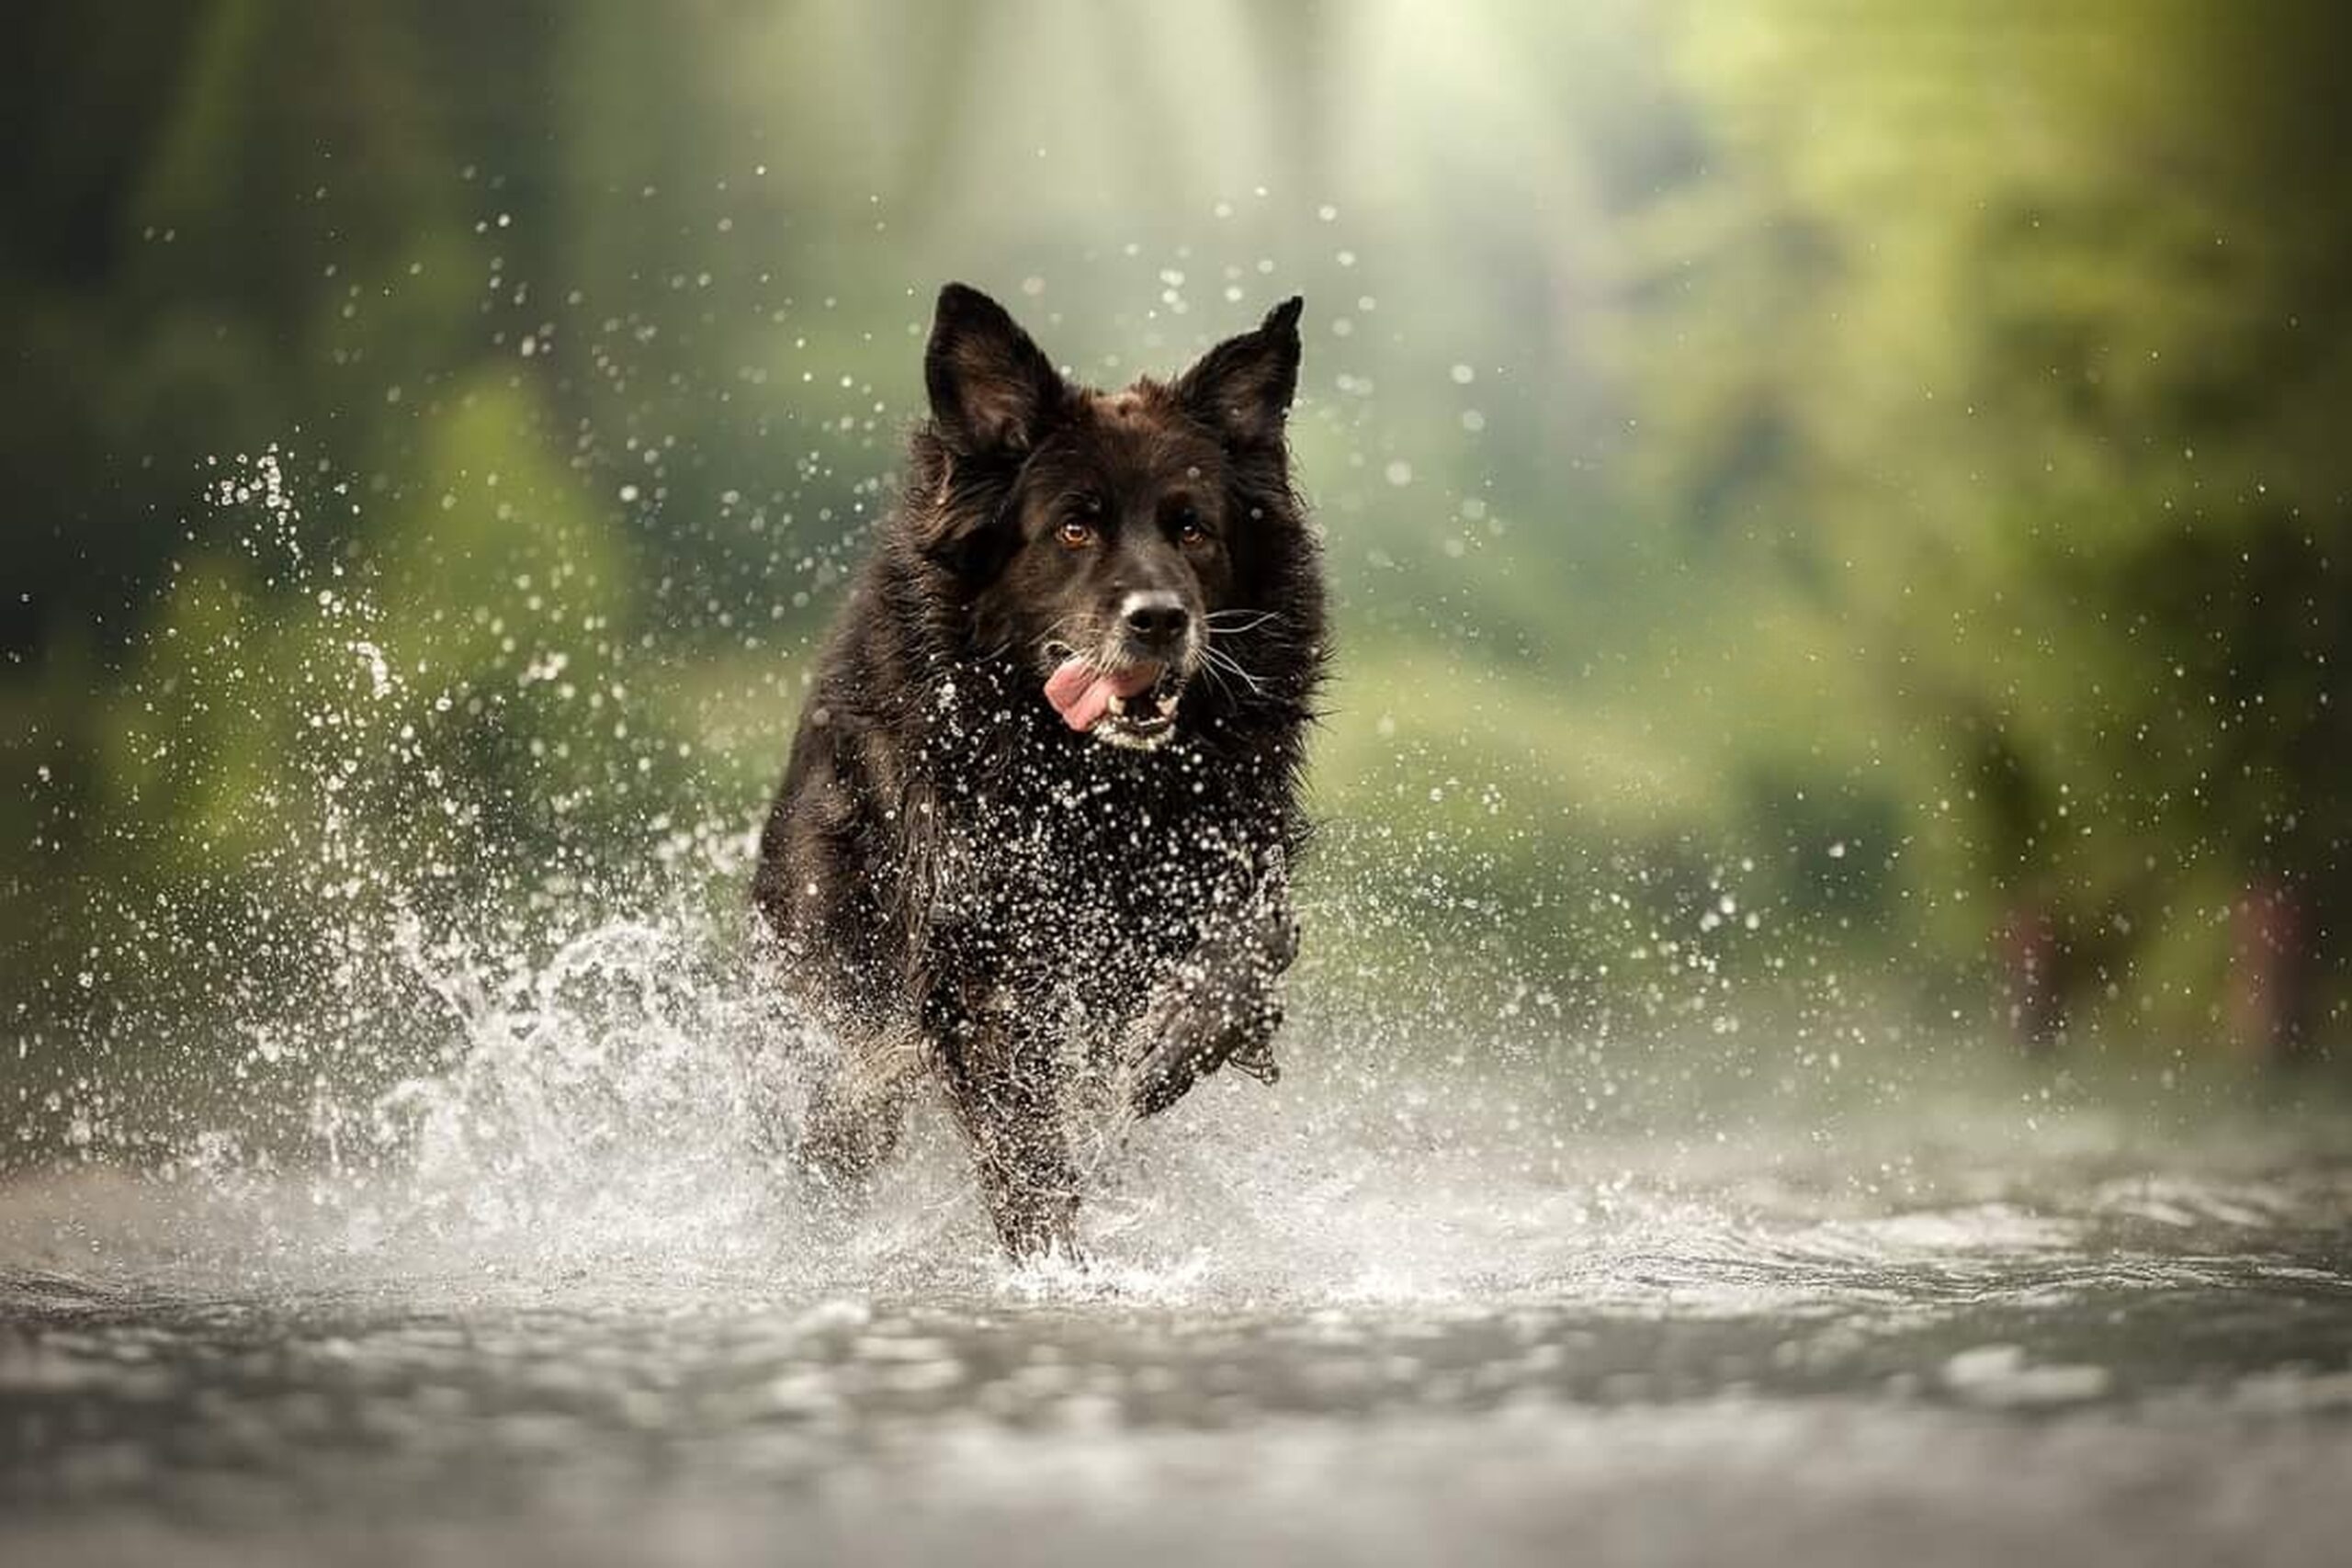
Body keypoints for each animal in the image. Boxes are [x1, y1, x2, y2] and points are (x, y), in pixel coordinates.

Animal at [762, 282, 1336, 1259]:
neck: (1090, 783)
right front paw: (1053, 1260)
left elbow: (1248, 951)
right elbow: (1025, 1142)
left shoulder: (1228, 860)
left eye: (1193, 528)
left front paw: (1173, 1050)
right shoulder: (976, 954)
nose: (1160, 619)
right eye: (1074, 528)